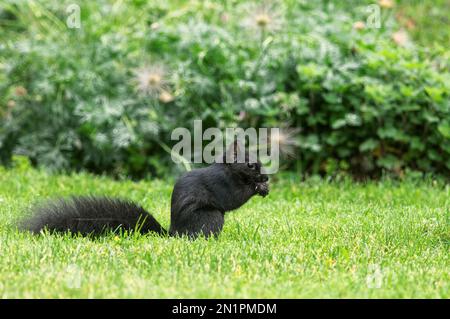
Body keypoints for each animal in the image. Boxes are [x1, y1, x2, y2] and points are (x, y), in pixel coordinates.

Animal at [20, 141, 268, 239]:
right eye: (250, 164)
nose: (265, 175)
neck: (228, 170)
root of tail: (173, 233)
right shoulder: (220, 184)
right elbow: (233, 199)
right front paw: (258, 187)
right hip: (211, 217)